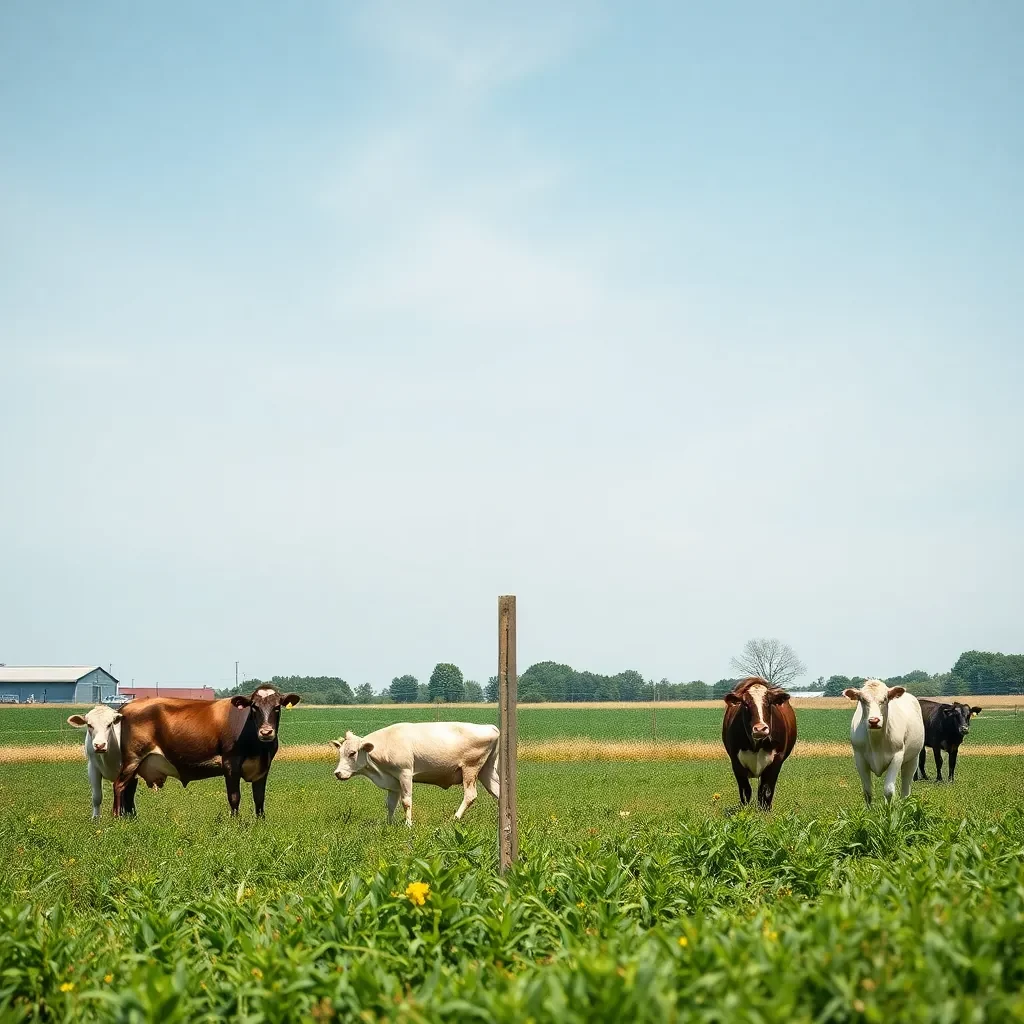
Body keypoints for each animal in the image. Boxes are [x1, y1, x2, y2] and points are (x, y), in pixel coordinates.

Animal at [111, 684, 299, 819]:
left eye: (277, 707)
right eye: (254, 707)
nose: (266, 732)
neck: (258, 747)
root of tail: (127, 706)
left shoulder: (263, 767)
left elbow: (259, 798)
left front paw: (260, 822)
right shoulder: (230, 763)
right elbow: (234, 796)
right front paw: (236, 824)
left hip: (137, 764)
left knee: (130, 788)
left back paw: (131, 818)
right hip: (132, 758)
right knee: (119, 785)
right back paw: (118, 817)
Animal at [331, 720, 499, 823]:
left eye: (352, 753)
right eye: (340, 752)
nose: (337, 773)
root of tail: (490, 727)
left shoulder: (405, 773)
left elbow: (406, 801)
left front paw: (408, 825)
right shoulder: (393, 781)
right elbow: (390, 804)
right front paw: (389, 824)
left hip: (470, 769)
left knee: (470, 795)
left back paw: (455, 818)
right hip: (486, 772)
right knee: (498, 792)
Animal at [720, 675, 798, 811]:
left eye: (768, 703)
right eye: (746, 704)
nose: (760, 728)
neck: (756, 746)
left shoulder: (776, 761)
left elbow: (766, 792)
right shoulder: (736, 762)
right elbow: (745, 791)